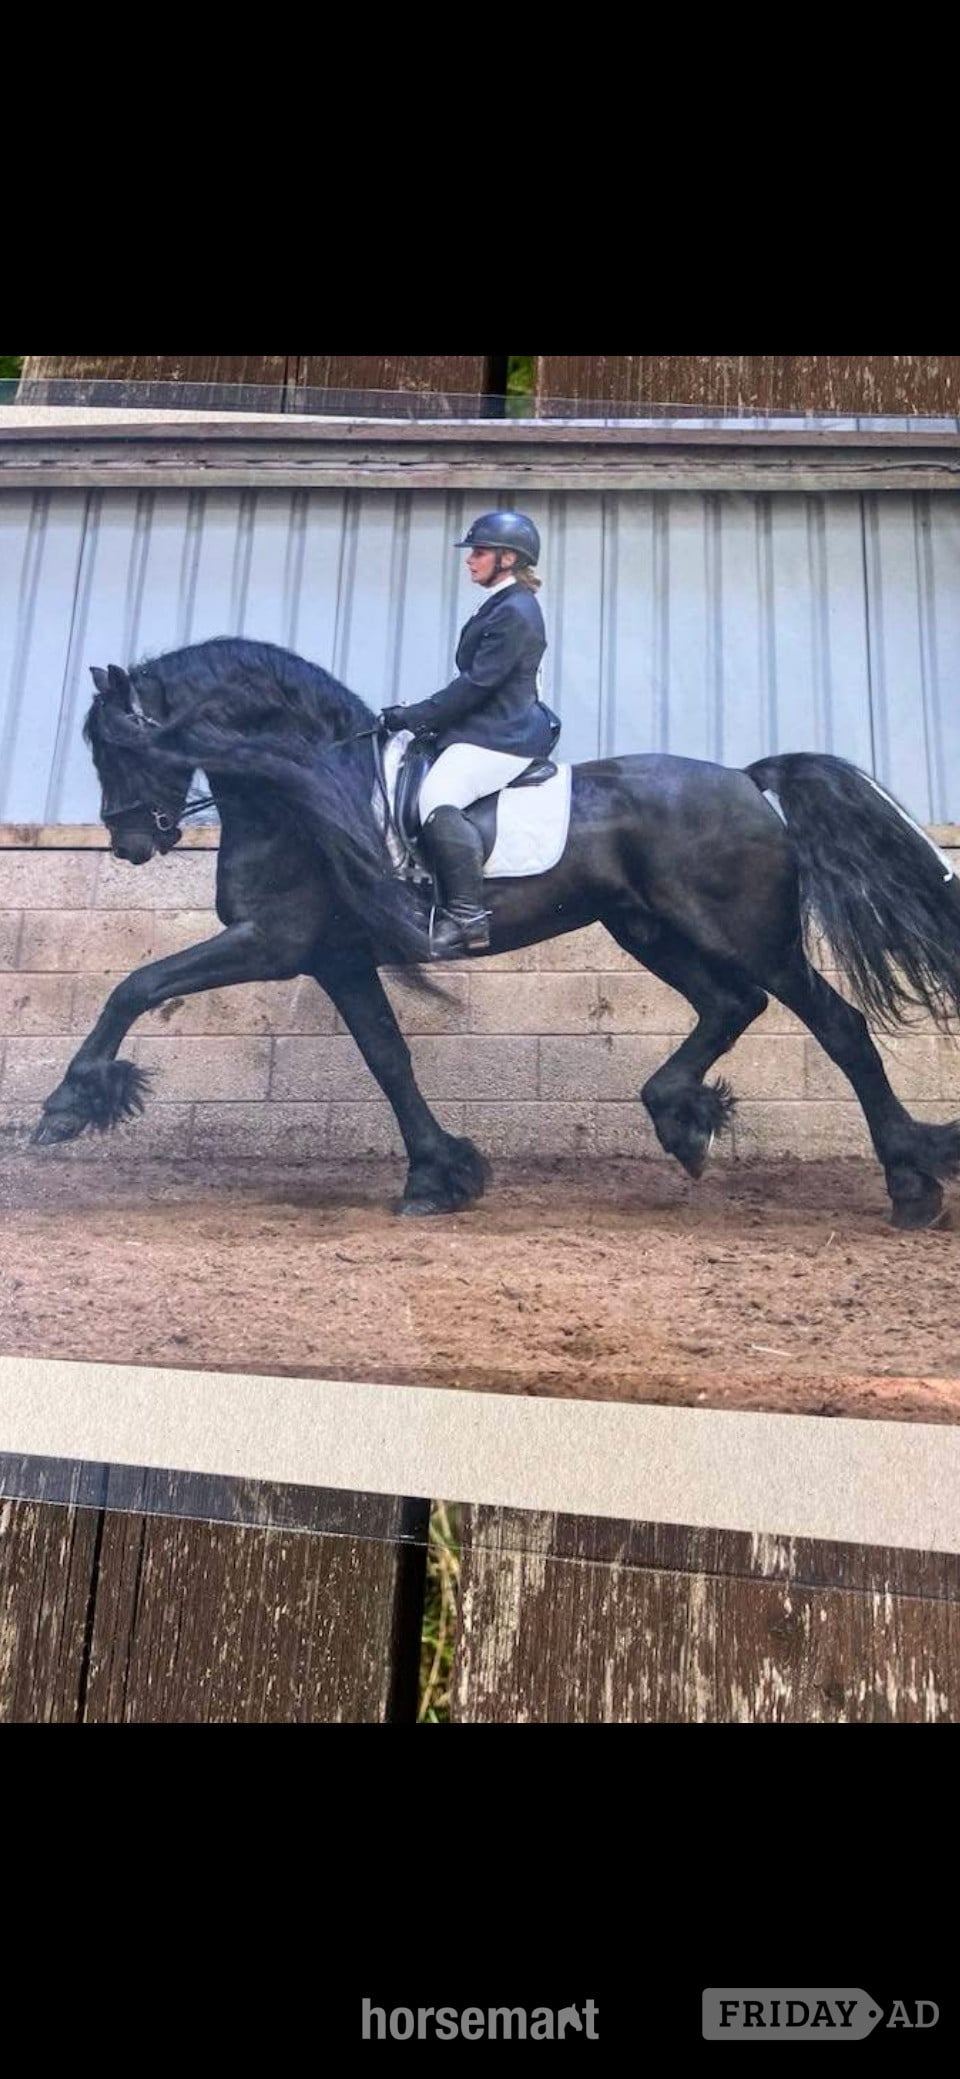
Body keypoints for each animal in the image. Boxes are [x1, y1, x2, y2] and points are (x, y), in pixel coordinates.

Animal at [30, 635, 960, 1230]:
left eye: (119, 745)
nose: (131, 844)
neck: (299, 787)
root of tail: (744, 775)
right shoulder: (336, 957)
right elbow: (389, 1059)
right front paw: (441, 1174)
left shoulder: (274, 941)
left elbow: (135, 985)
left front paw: (66, 1109)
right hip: (648, 928)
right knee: (732, 1006)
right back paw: (681, 1119)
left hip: (743, 932)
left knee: (837, 1026)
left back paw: (912, 1182)